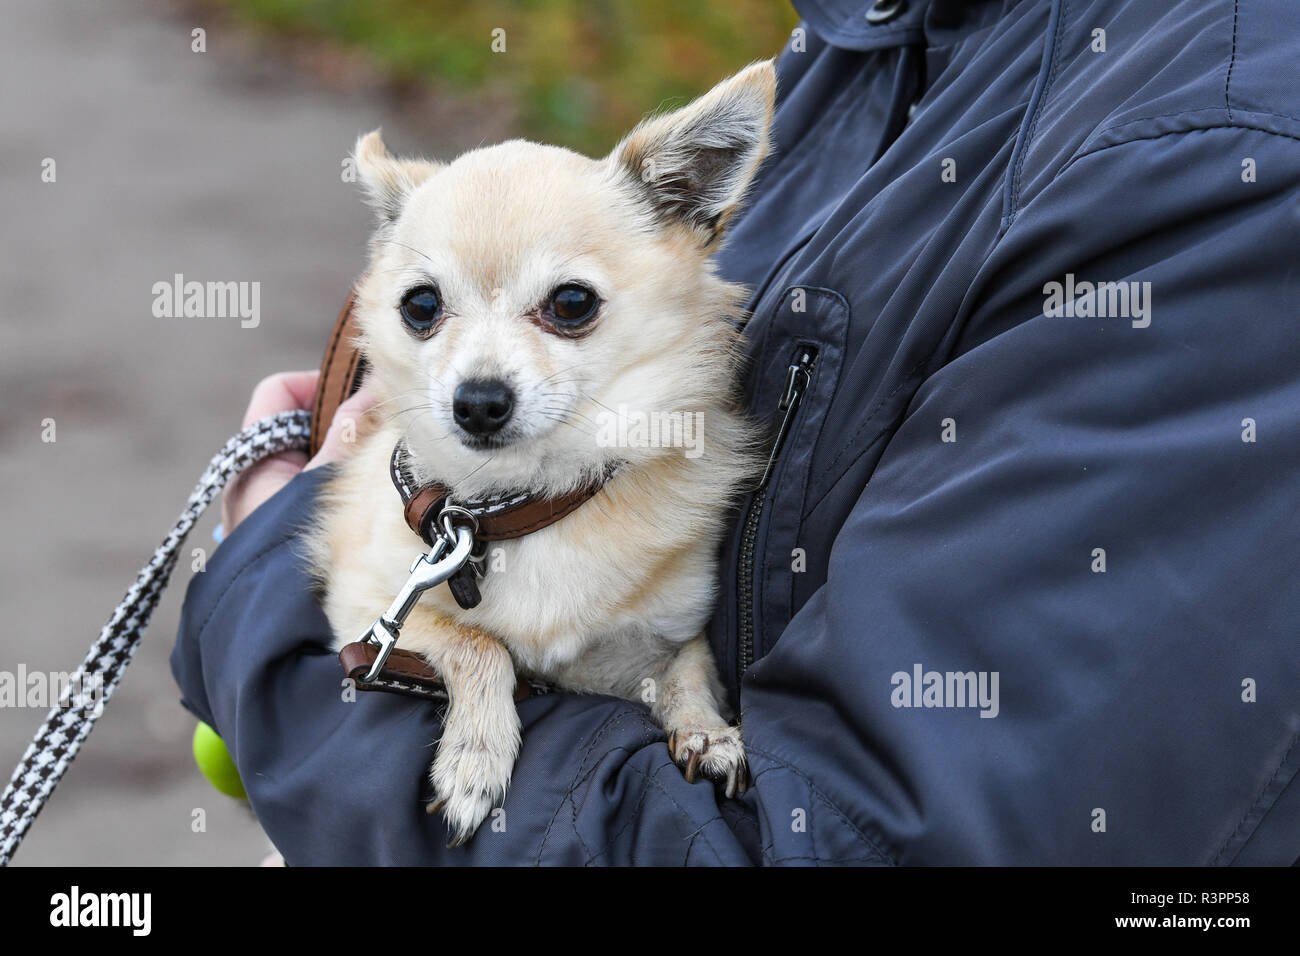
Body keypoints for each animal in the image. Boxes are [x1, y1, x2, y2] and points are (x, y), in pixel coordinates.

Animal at [309, 59, 774, 842]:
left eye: (572, 303)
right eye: (421, 307)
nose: (477, 400)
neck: (526, 500)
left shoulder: (664, 635)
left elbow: (687, 665)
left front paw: (707, 730)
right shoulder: (369, 614)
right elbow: (479, 644)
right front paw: (475, 757)